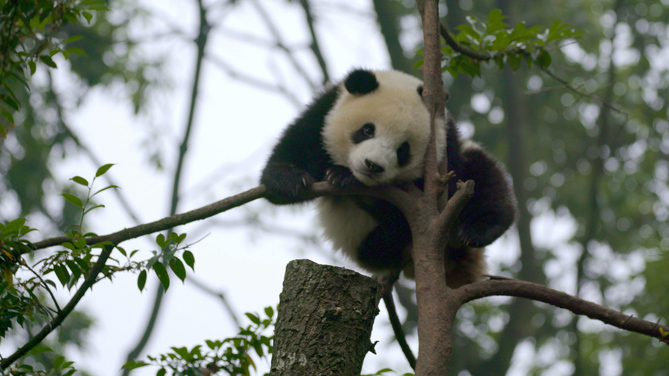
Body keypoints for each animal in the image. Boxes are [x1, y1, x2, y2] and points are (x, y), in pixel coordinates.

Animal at [258, 68, 516, 288]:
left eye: (403, 150)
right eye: (367, 130)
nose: (373, 166)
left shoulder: (445, 152)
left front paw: (344, 177)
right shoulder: (323, 113)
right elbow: (297, 145)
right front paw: (288, 180)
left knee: (487, 180)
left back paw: (476, 230)